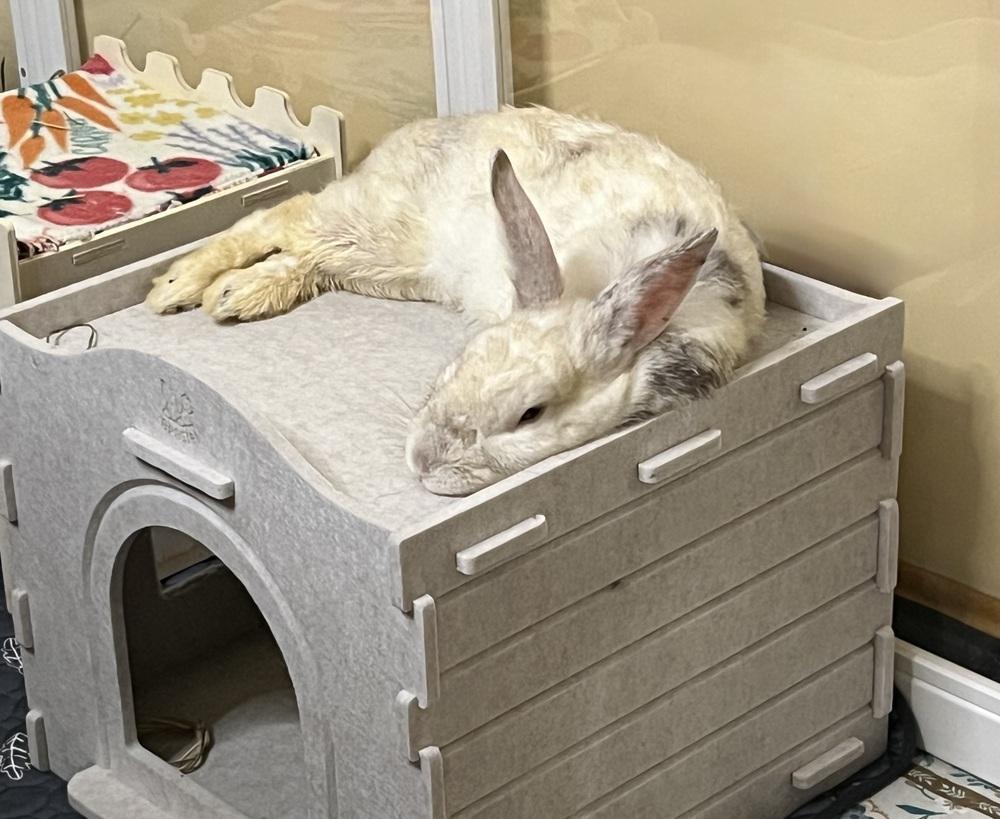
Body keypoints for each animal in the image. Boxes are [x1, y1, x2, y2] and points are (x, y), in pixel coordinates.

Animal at [146, 106, 765, 496]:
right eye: (458, 364)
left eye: (531, 415)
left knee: (304, 255)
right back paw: (176, 289)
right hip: (380, 235)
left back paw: (234, 295)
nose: (423, 461)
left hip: (391, 265)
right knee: (284, 218)